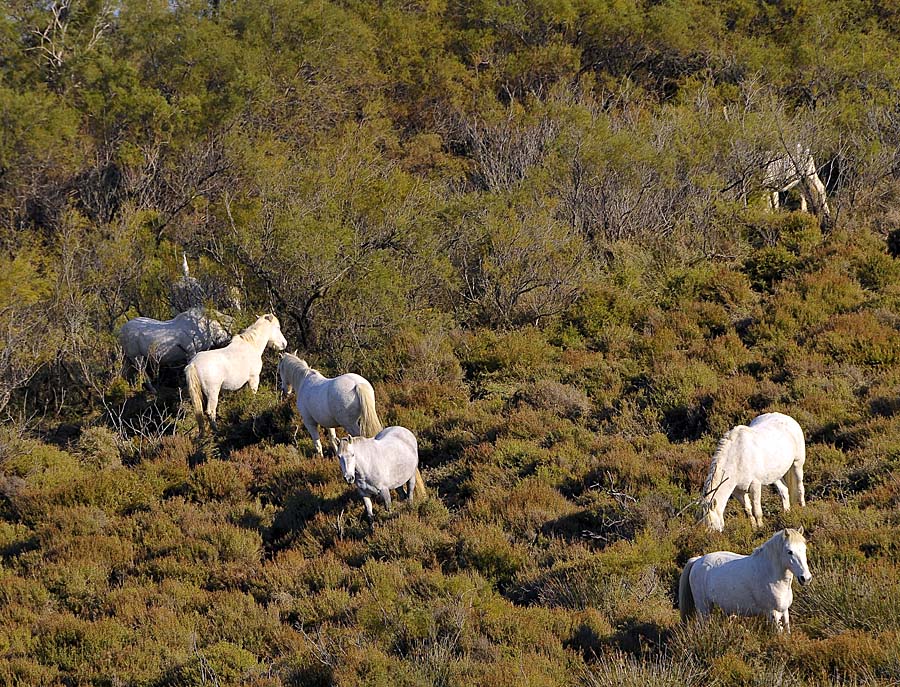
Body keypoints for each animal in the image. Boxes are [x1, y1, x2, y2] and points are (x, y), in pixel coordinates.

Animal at [680, 528, 812, 636]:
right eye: (789, 551)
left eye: (804, 549)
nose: (806, 578)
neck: (768, 573)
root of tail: (697, 560)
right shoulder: (773, 614)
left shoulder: (784, 612)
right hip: (704, 609)